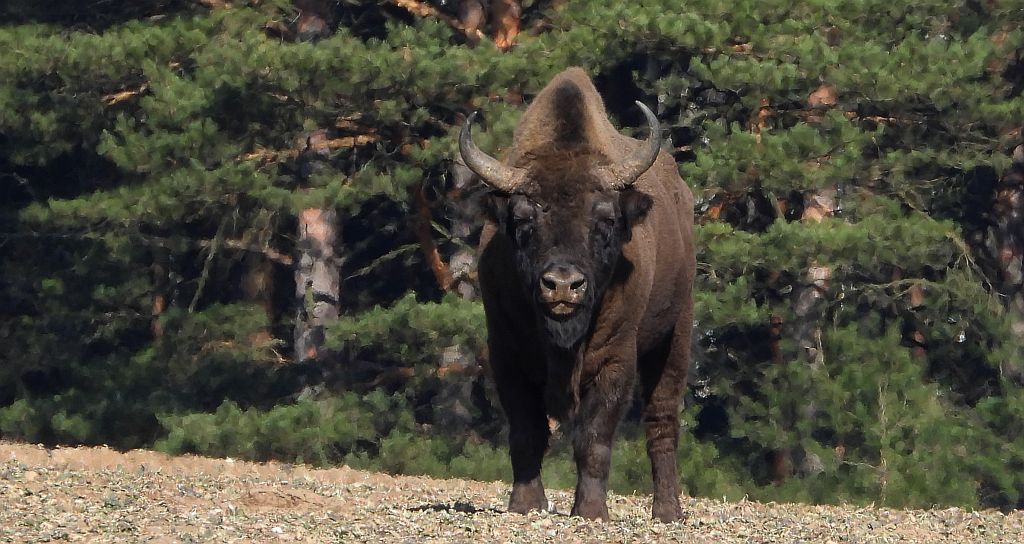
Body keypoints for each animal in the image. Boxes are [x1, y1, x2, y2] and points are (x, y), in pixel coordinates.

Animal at [459, 67, 696, 522]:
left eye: (605, 220)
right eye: (523, 219)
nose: (563, 284)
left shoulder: (615, 360)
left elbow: (594, 438)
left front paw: (590, 510)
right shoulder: (506, 356)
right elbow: (526, 430)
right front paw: (525, 505)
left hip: (677, 335)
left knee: (661, 420)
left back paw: (667, 511)